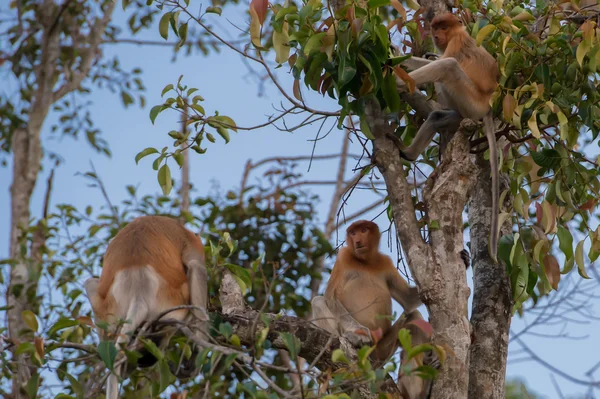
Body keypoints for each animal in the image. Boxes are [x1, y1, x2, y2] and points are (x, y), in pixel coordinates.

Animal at [84, 216, 210, 399]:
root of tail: (139, 289)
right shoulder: (192, 242)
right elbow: (196, 266)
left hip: (106, 308)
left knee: (90, 284)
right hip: (175, 302)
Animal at [312, 220, 420, 364]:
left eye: (363, 230)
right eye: (353, 233)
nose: (357, 241)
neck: (365, 262)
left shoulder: (386, 262)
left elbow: (409, 300)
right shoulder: (343, 256)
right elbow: (330, 297)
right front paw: (361, 334)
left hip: (382, 349)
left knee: (414, 315)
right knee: (317, 301)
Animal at [390, 11, 502, 262]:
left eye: (444, 27)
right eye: (435, 27)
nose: (436, 35)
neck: (459, 32)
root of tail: (488, 108)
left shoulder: (456, 42)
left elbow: (446, 61)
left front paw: (394, 71)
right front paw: (394, 53)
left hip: (471, 101)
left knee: (448, 66)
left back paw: (400, 84)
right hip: (464, 109)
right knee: (436, 116)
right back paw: (408, 152)